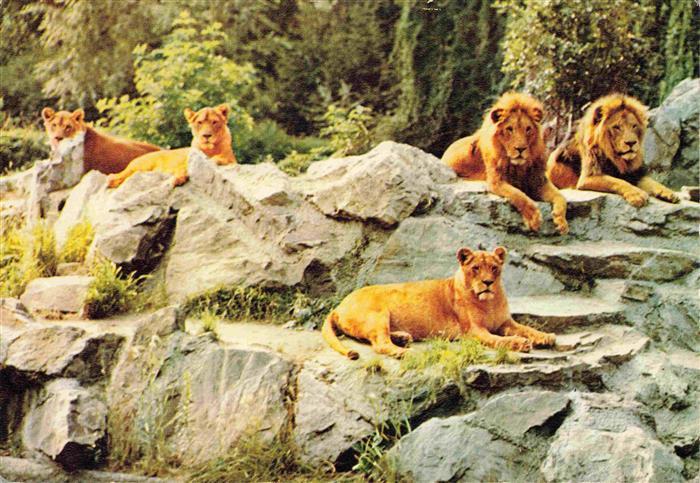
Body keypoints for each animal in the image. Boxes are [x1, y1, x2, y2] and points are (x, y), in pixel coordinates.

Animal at [107, 104, 237, 188]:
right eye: (199, 122)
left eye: (214, 122)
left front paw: (213, 159)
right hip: (142, 165)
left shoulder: (232, 160)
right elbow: (183, 168)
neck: (209, 149)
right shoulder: (185, 161)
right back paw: (112, 181)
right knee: (122, 174)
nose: (206, 135)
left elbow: (220, 158)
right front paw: (178, 179)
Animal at [322, 246, 556, 359]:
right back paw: (405, 352)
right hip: (378, 314)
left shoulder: (506, 323)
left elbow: (527, 328)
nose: (488, 282)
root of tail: (338, 306)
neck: (489, 302)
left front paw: (546, 337)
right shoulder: (473, 331)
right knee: (379, 344)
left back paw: (403, 338)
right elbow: (498, 340)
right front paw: (519, 343)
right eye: (476, 268)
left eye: (494, 268)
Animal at [442, 92, 568, 234]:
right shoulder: (496, 182)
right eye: (510, 129)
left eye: (528, 129)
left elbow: (561, 197)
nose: (521, 149)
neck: (518, 166)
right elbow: (519, 195)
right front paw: (534, 218)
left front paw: (562, 222)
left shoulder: (538, 181)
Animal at [547, 93, 679, 206]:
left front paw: (668, 192)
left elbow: (653, 182)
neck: (617, 159)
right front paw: (637, 194)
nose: (631, 143)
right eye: (617, 127)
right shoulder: (587, 178)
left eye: (634, 126)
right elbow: (618, 181)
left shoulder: (635, 174)